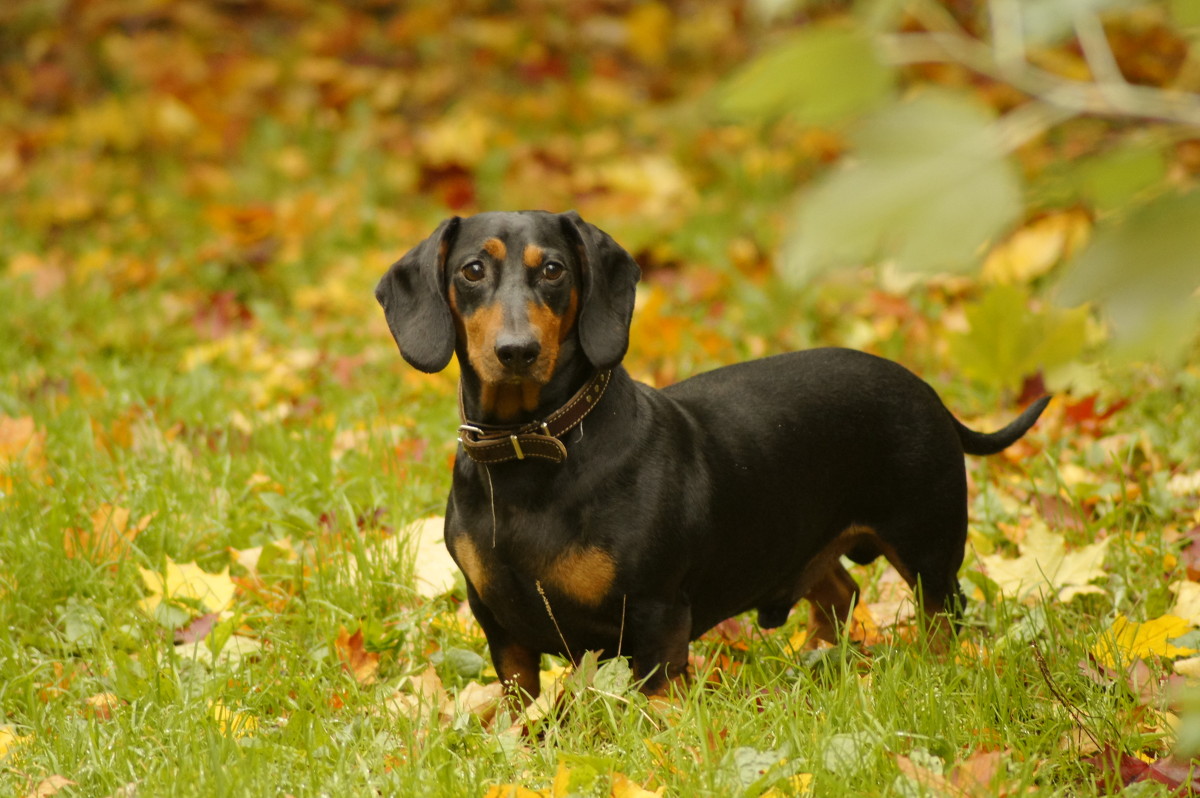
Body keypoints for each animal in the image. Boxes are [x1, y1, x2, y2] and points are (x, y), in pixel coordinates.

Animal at [376, 208, 1051, 700]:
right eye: (471, 271)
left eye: (554, 271)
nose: (517, 351)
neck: (535, 449)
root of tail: (927, 391)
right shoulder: (498, 626)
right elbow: (522, 705)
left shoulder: (655, 619)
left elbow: (655, 702)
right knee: (839, 594)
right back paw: (814, 665)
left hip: (928, 547)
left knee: (940, 616)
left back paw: (935, 675)